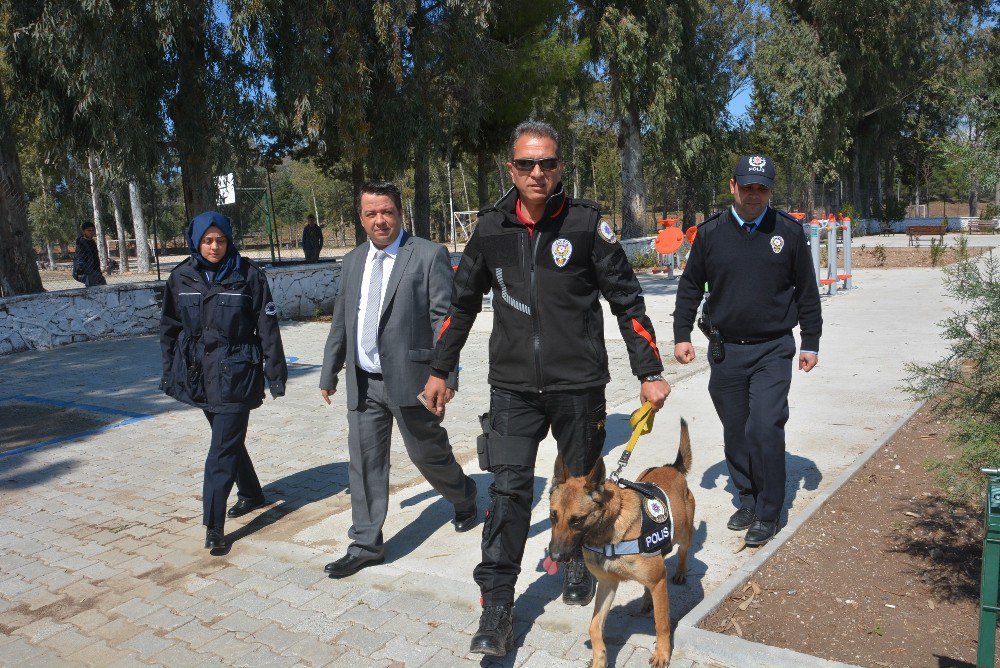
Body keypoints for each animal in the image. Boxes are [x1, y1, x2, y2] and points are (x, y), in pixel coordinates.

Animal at [548, 420, 696, 664]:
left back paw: (681, 573)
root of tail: (672, 467)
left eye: (576, 520)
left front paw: (662, 653)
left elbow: (662, 623)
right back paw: (647, 600)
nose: (555, 557)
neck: (609, 529)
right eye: (553, 516)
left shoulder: (657, 579)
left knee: (683, 553)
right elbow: (594, 626)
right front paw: (599, 659)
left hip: (683, 536)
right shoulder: (607, 584)